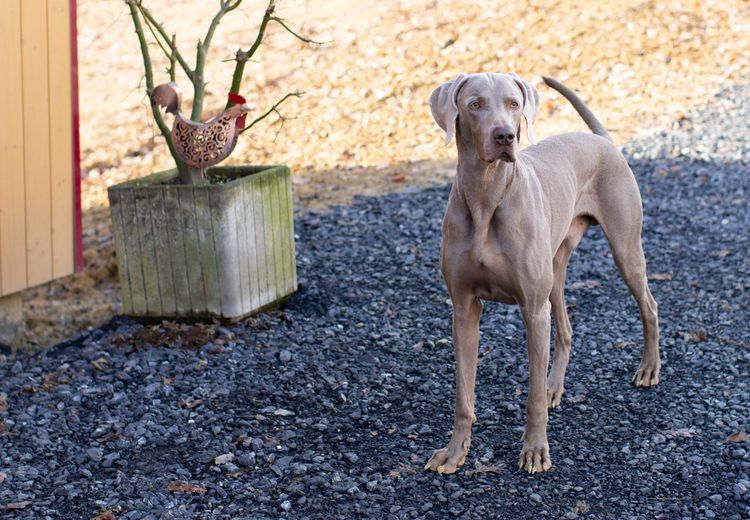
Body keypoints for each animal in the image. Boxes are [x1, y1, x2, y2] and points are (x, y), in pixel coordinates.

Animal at [426, 73, 660, 476]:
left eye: (513, 104)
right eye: (475, 105)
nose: (506, 136)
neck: (488, 196)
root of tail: (603, 140)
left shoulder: (533, 311)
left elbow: (531, 395)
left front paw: (535, 450)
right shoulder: (464, 309)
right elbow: (463, 396)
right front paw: (455, 453)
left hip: (625, 249)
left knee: (649, 304)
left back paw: (648, 369)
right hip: (555, 268)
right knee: (565, 329)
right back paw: (555, 386)